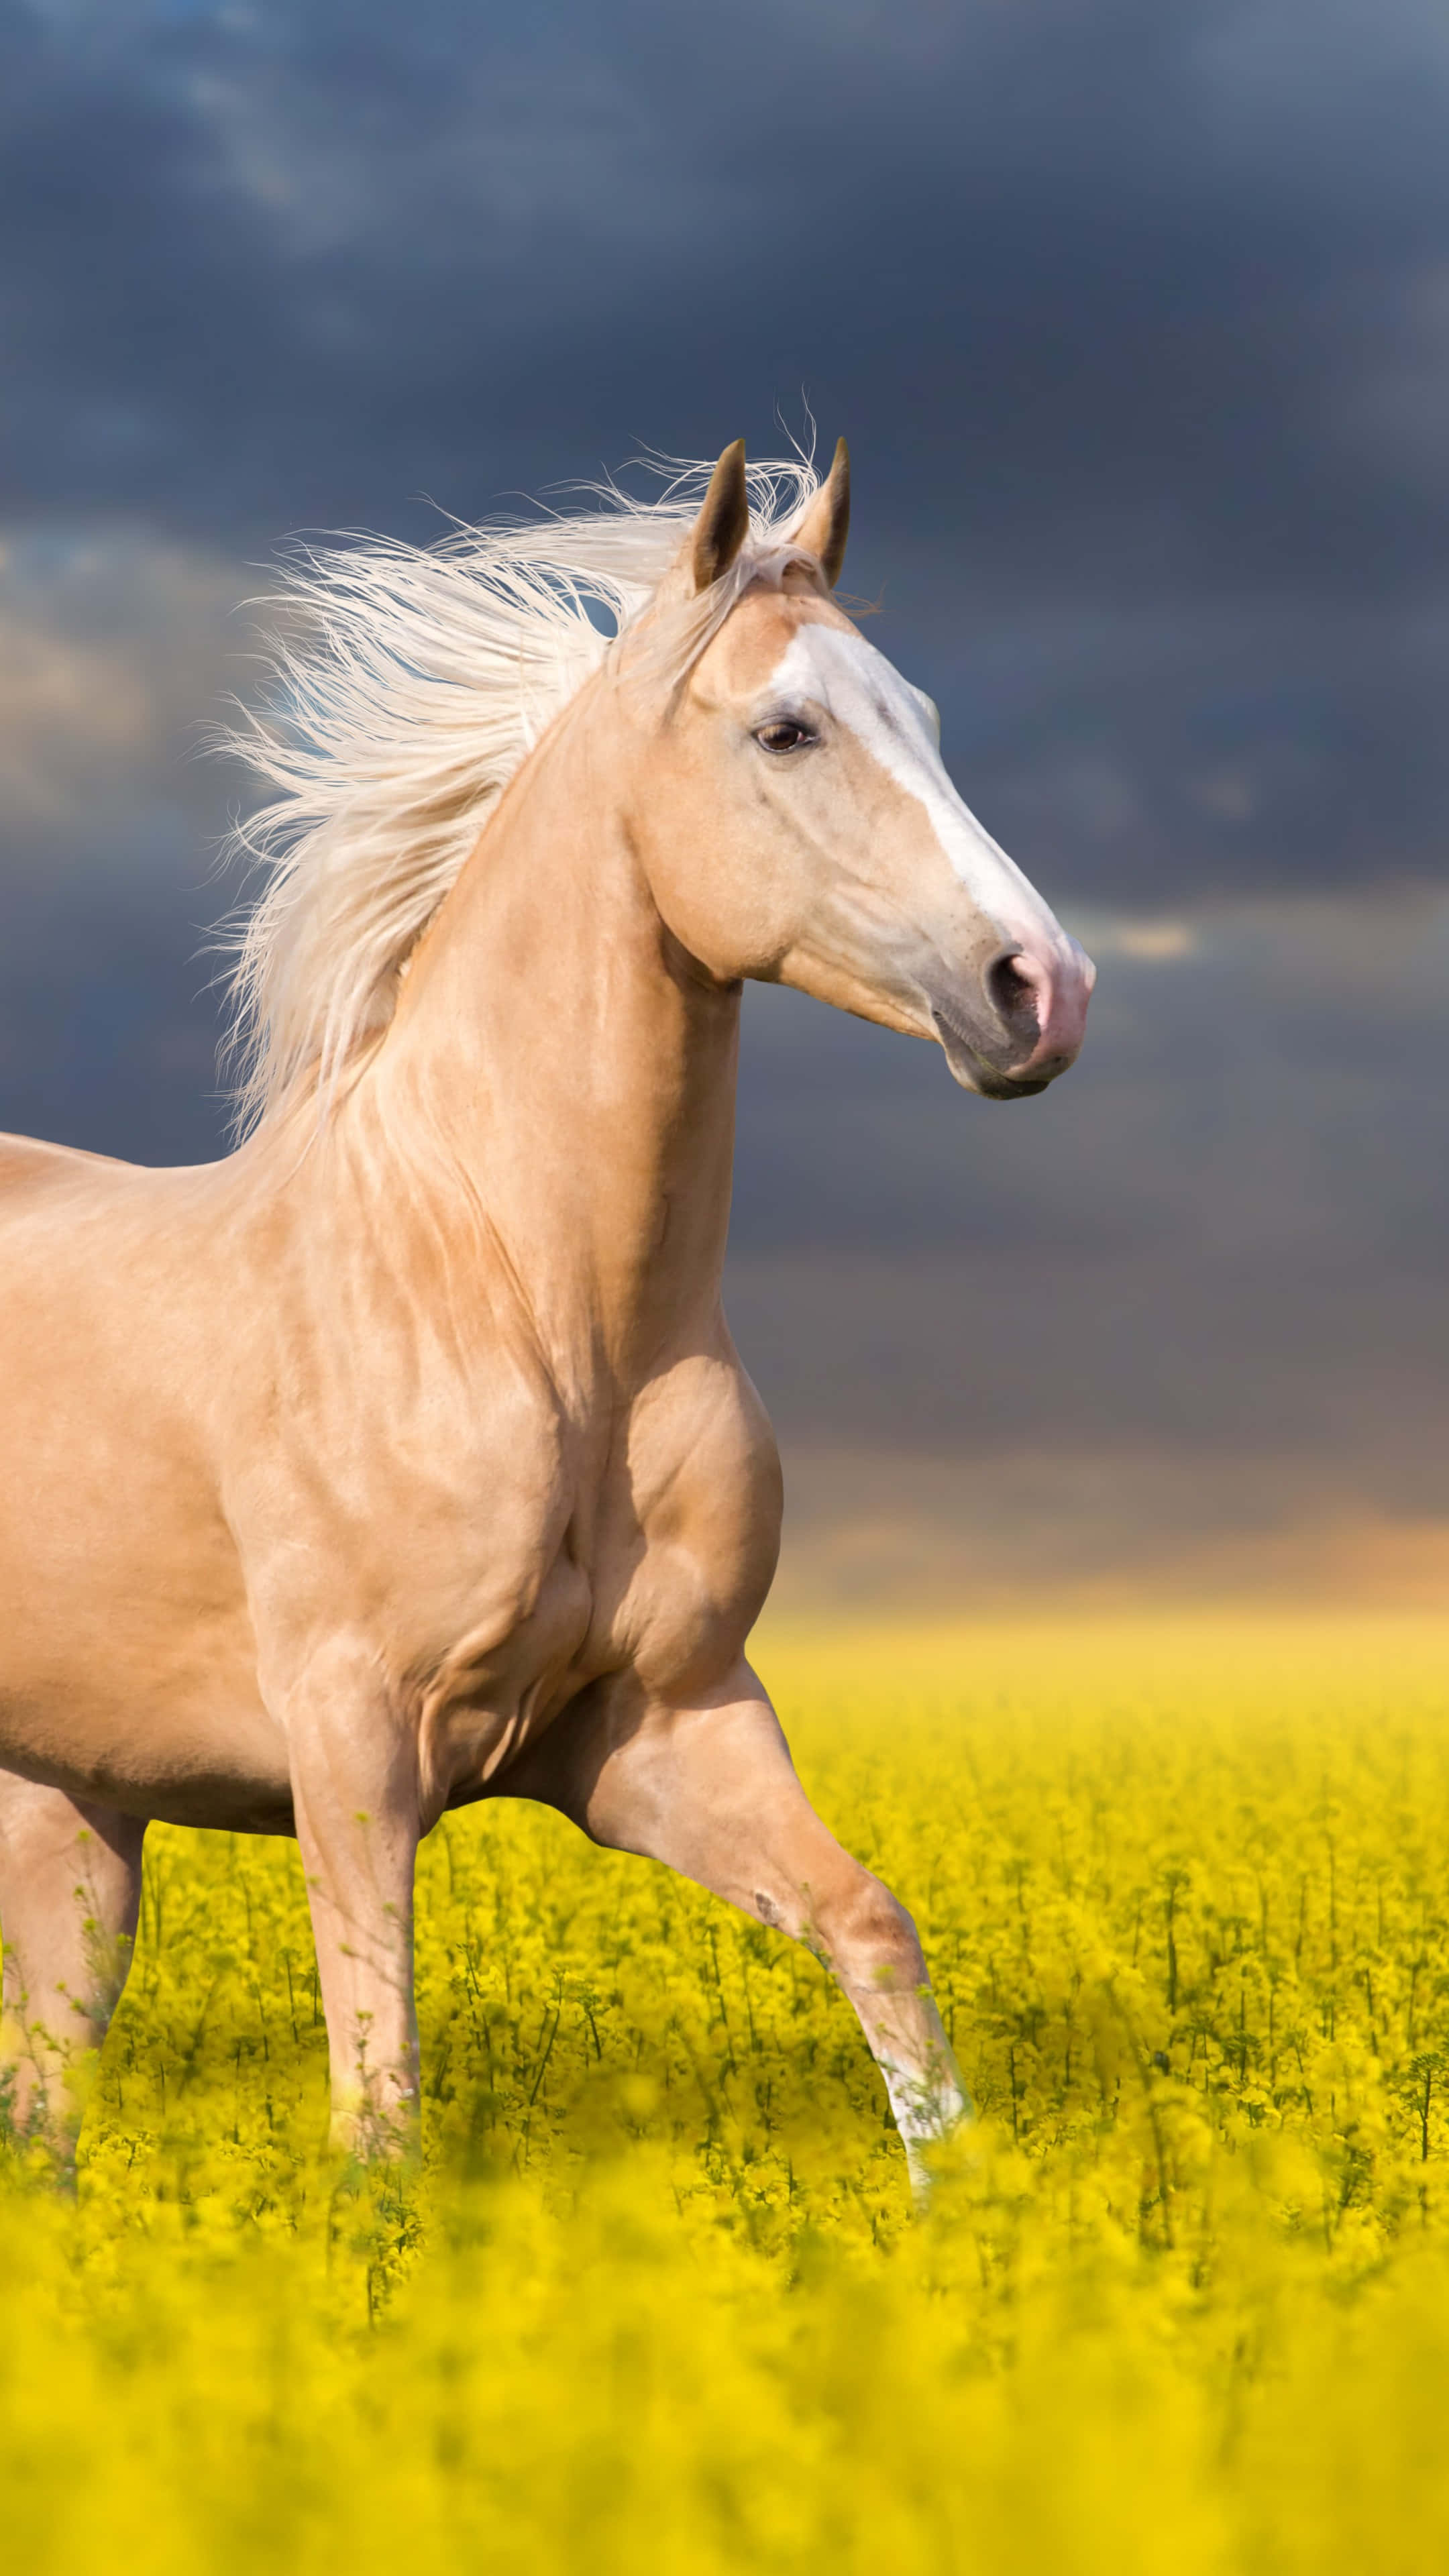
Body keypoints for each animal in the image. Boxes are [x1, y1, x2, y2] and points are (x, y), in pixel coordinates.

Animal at [0, 440, 1093, 2186]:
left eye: (919, 711)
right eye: (785, 729)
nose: (1039, 992)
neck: (526, 1309)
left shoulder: (663, 1725)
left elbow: (873, 1931)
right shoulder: (353, 1740)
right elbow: (378, 2099)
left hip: (72, 1802)